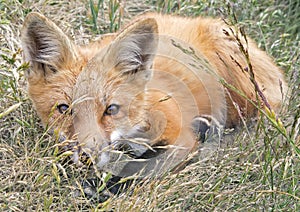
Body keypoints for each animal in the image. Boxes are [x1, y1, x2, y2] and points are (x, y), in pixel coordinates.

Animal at [21, 12, 286, 176]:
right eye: (64, 109)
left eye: (111, 109)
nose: (88, 156)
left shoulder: (181, 139)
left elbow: (141, 170)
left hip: (242, 88)